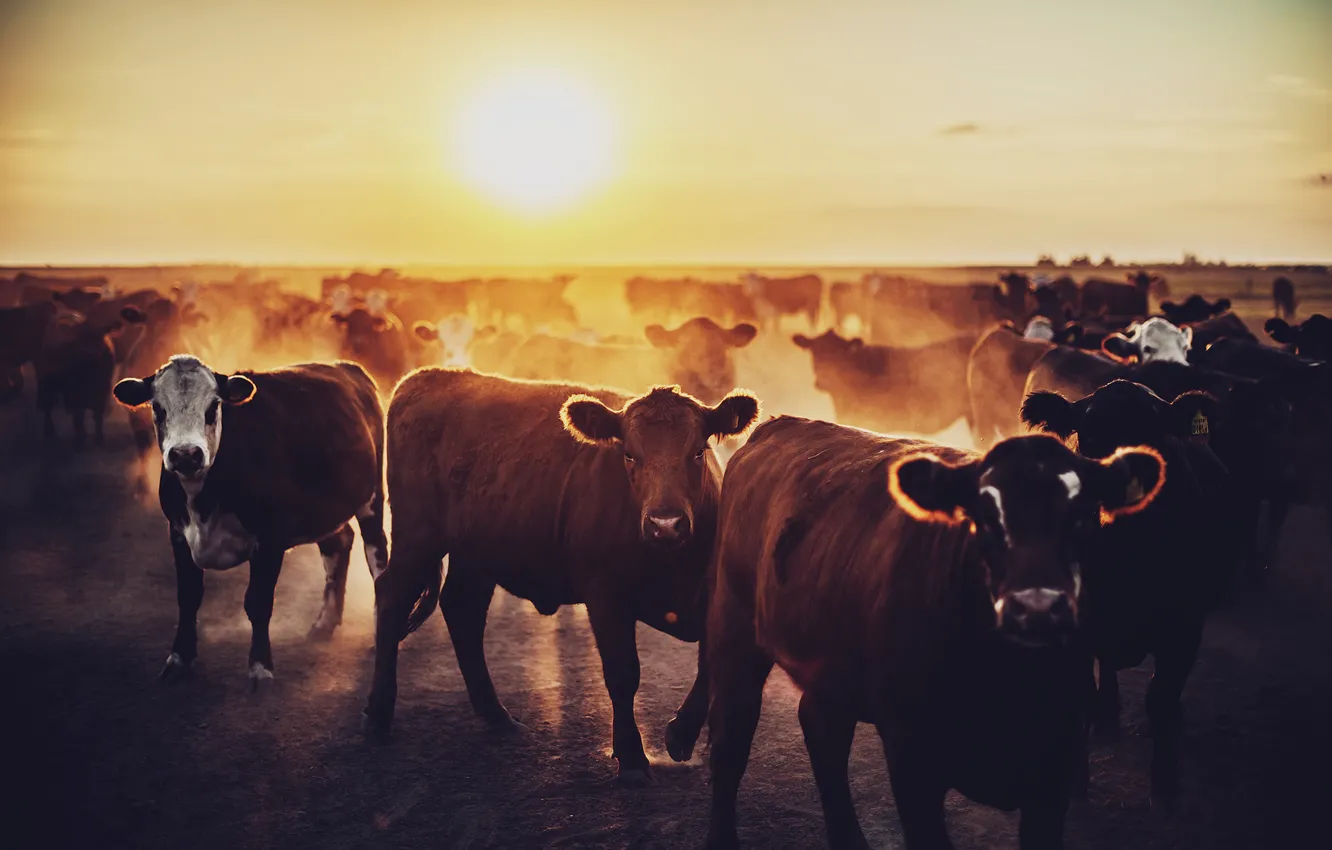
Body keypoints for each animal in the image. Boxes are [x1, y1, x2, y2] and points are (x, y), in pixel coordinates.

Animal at [111, 356, 388, 685]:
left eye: (213, 406)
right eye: (157, 408)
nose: (186, 454)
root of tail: (347, 367)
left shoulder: (270, 538)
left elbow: (258, 602)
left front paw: (260, 666)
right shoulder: (177, 532)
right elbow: (188, 597)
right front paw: (180, 657)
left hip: (372, 499)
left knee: (377, 558)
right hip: (326, 509)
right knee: (338, 545)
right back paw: (324, 625)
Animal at [362, 371, 759, 785]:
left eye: (697, 452)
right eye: (629, 454)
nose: (665, 523)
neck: (674, 564)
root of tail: (427, 377)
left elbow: (710, 667)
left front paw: (680, 736)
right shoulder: (605, 594)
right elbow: (622, 672)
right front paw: (632, 758)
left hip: (475, 550)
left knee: (462, 609)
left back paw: (496, 714)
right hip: (418, 535)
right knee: (392, 597)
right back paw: (379, 714)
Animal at [702, 418, 1164, 849]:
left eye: (1084, 518)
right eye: (983, 520)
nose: (1036, 608)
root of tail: (778, 425)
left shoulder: (1054, 773)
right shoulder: (912, 760)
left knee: (822, 730)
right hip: (735, 632)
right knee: (731, 741)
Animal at [1022, 380, 1243, 807]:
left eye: (1154, 440)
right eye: (1088, 437)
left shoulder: (1185, 628)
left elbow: (1160, 698)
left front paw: (1165, 785)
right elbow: (1082, 697)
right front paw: (1076, 781)